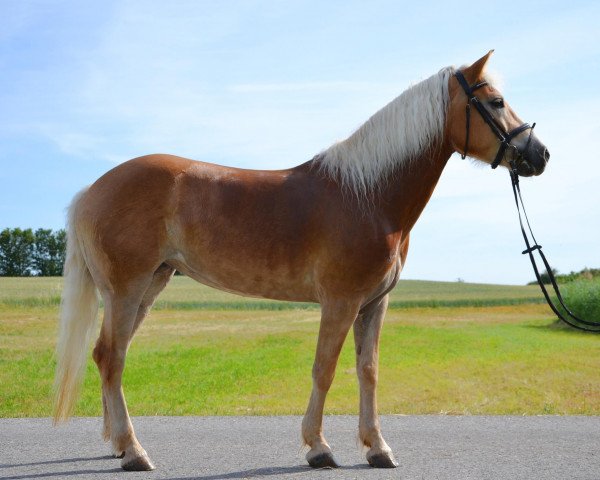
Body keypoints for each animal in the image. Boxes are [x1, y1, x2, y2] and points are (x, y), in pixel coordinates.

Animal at [54, 50, 552, 470]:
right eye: (496, 101)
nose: (540, 154)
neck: (368, 195)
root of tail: (91, 189)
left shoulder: (374, 304)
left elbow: (368, 371)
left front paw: (377, 447)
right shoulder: (340, 301)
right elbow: (325, 369)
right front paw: (318, 447)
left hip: (149, 286)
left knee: (107, 356)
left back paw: (117, 445)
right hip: (128, 289)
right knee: (111, 357)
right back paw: (134, 450)